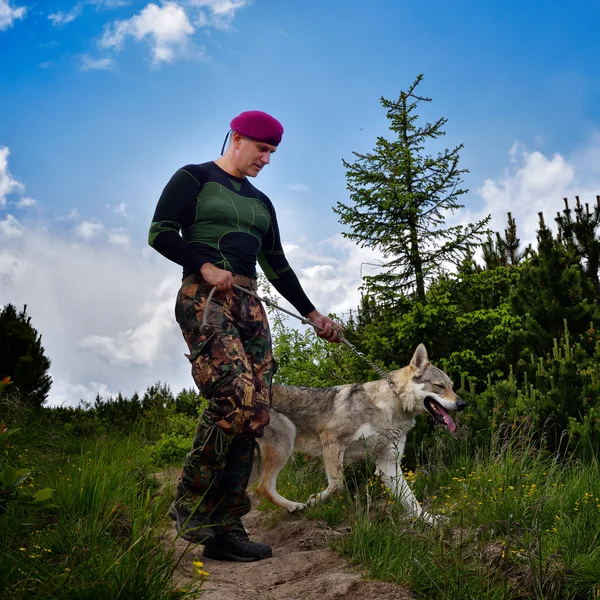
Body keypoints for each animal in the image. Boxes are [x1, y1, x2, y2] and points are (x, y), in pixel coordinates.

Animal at [255, 344, 466, 524]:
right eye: (439, 386)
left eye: (452, 386)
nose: (463, 404)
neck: (390, 406)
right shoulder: (331, 440)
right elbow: (337, 485)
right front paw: (315, 500)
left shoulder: (388, 465)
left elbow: (413, 502)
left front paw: (432, 521)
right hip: (286, 442)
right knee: (262, 487)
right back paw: (293, 506)